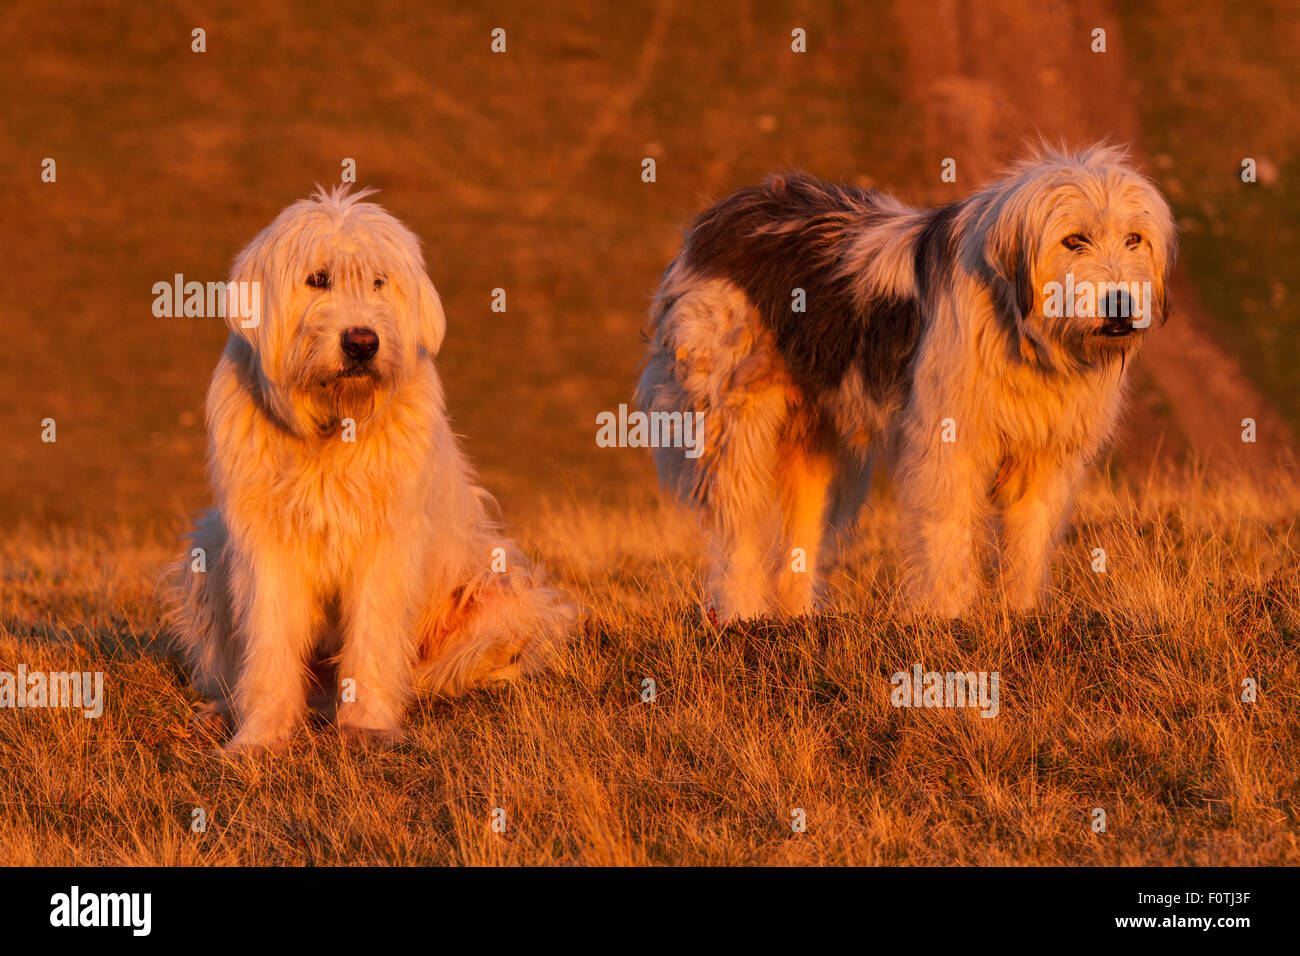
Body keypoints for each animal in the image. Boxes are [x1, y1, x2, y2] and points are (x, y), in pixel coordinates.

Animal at [170, 188, 572, 754]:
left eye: (380, 281)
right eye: (318, 278)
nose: (362, 342)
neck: (332, 426)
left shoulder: (386, 541)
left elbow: (374, 634)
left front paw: (368, 726)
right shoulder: (266, 541)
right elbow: (269, 640)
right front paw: (260, 736)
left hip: (497, 594)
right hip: (209, 545)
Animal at [639, 141, 1180, 621]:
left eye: (1135, 238)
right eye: (1074, 239)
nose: (1120, 305)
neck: (1023, 329)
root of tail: (721, 216)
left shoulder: (1047, 453)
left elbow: (1029, 535)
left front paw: (1023, 611)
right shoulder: (949, 441)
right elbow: (947, 529)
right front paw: (948, 613)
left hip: (820, 450)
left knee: (800, 537)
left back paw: (798, 616)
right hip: (732, 422)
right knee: (740, 528)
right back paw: (742, 615)